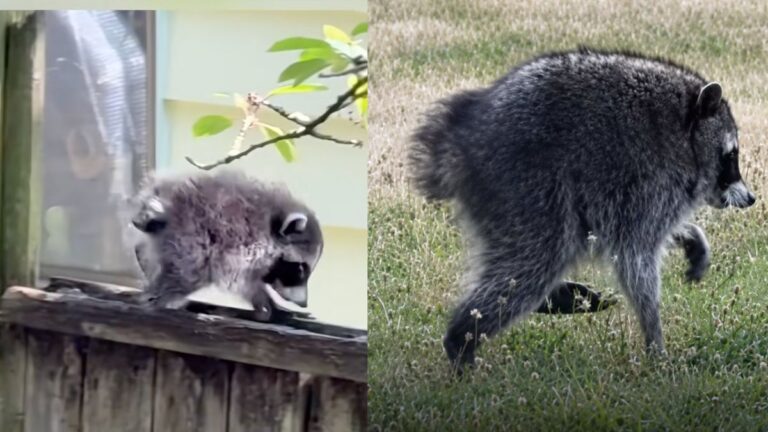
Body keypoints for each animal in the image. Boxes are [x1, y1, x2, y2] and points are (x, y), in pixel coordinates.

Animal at [128, 170, 323, 318]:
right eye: (300, 269)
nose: (304, 303)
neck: (269, 225)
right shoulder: (241, 245)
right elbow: (239, 281)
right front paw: (265, 301)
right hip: (189, 235)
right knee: (191, 269)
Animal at [408, 48, 755, 370]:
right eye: (731, 156)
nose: (751, 198)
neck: (685, 131)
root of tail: (461, 135)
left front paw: (689, 234)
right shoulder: (650, 182)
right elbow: (635, 258)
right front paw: (654, 338)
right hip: (526, 184)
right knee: (536, 259)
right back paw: (463, 337)